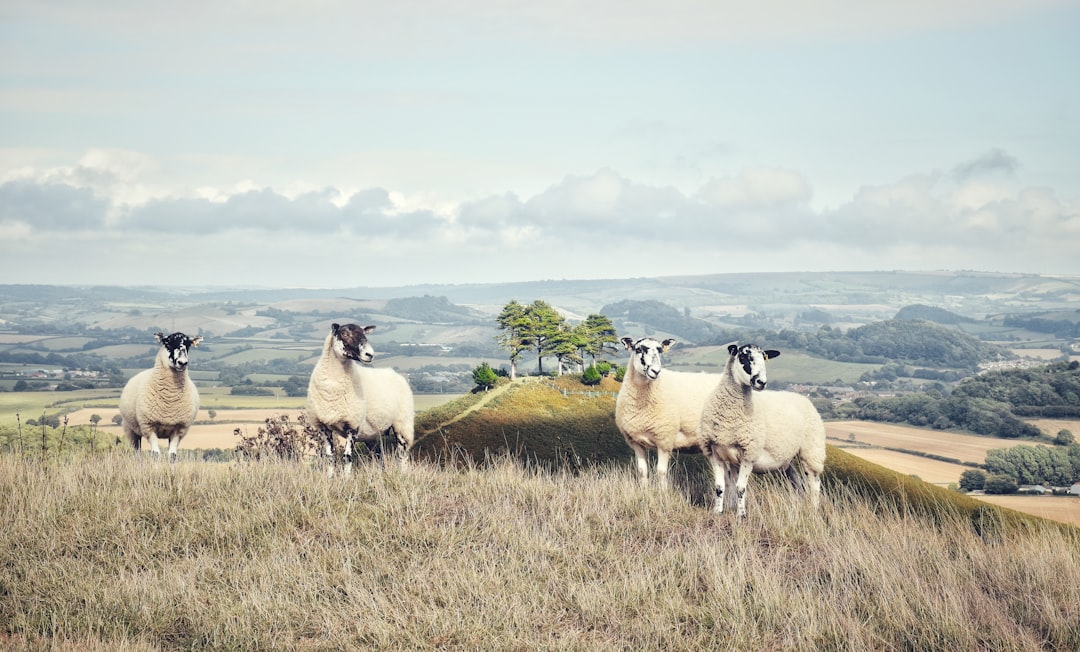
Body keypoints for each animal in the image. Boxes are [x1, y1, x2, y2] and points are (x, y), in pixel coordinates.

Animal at [119, 330, 203, 464]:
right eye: (167, 343)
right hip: (130, 429)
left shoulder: (179, 428)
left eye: (189, 344)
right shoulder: (149, 426)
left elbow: (172, 455)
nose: (182, 363)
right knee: (137, 452)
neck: (170, 398)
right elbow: (155, 454)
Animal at [304, 323, 375, 472]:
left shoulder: (353, 425)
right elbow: (330, 456)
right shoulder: (324, 426)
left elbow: (347, 457)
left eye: (364, 334)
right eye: (344, 334)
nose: (370, 354)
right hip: (373, 434)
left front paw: (346, 477)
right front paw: (330, 477)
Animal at [613, 336, 730, 487]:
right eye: (638, 349)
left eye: (660, 350)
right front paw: (644, 490)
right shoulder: (636, 442)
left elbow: (661, 472)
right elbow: (642, 471)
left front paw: (663, 492)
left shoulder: (665, 439)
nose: (656, 371)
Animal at [699, 343, 825, 515]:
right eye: (743, 357)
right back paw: (800, 508)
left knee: (814, 484)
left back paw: (813, 510)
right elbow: (720, 487)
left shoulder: (749, 454)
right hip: (786, 460)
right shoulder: (715, 452)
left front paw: (741, 515)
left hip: (811, 450)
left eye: (764, 359)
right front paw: (718, 512)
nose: (761, 382)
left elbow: (740, 488)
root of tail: (803, 398)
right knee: (798, 482)